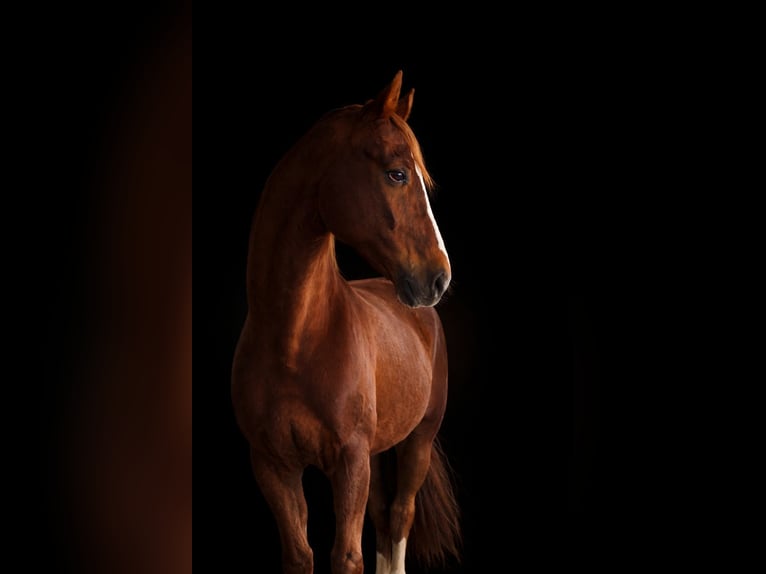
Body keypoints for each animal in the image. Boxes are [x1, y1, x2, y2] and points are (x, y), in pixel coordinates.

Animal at [231, 70, 460, 574]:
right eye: (397, 173)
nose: (438, 277)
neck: (297, 338)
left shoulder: (350, 461)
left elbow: (347, 556)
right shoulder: (273, 466)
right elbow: (302, 554)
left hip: (417, 440)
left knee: (399, 516)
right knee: (382, 517)